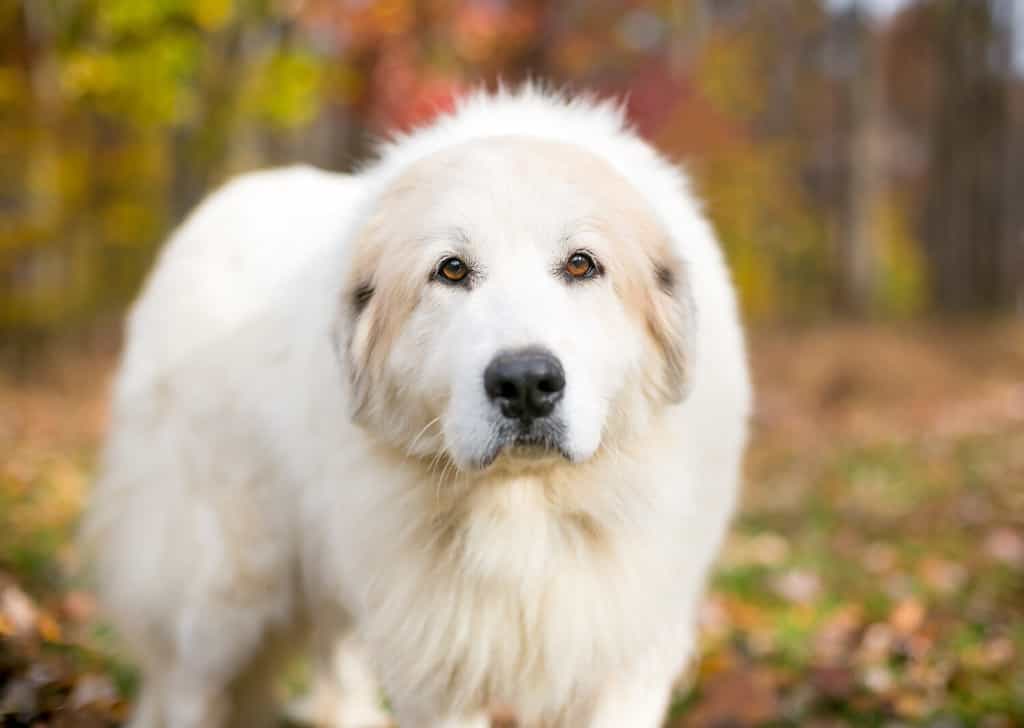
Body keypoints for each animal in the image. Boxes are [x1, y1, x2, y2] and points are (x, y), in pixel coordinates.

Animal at [83, 87, 753, 728]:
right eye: (450, 270)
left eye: (581, 264)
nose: (525, 382)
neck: (525, 507)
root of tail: (213, 212)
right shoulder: (435, 671)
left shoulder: (626, 660)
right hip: (224, 590)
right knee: (188, 687)